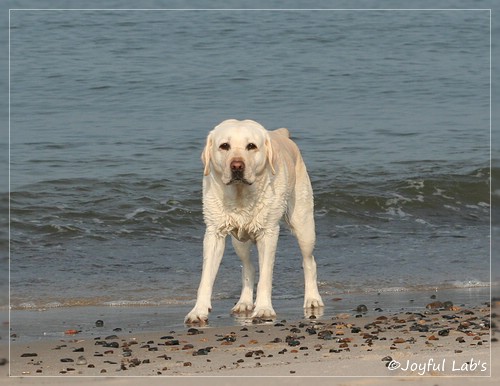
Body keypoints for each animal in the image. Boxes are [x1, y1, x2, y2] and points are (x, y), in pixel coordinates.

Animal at [185, 119, 324, 324]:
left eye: (251, 146)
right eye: (224, 146)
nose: (236, 166)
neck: (240, 195)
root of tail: (280, 133)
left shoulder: (268, 233)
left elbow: (266, 275)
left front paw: (264, 309)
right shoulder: (214, 233)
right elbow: (206, 278)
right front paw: (198, 310)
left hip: (304, 224)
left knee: (309, 261)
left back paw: (313, 299)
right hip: (239, 240)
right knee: (248, 267)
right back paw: (243, 303)